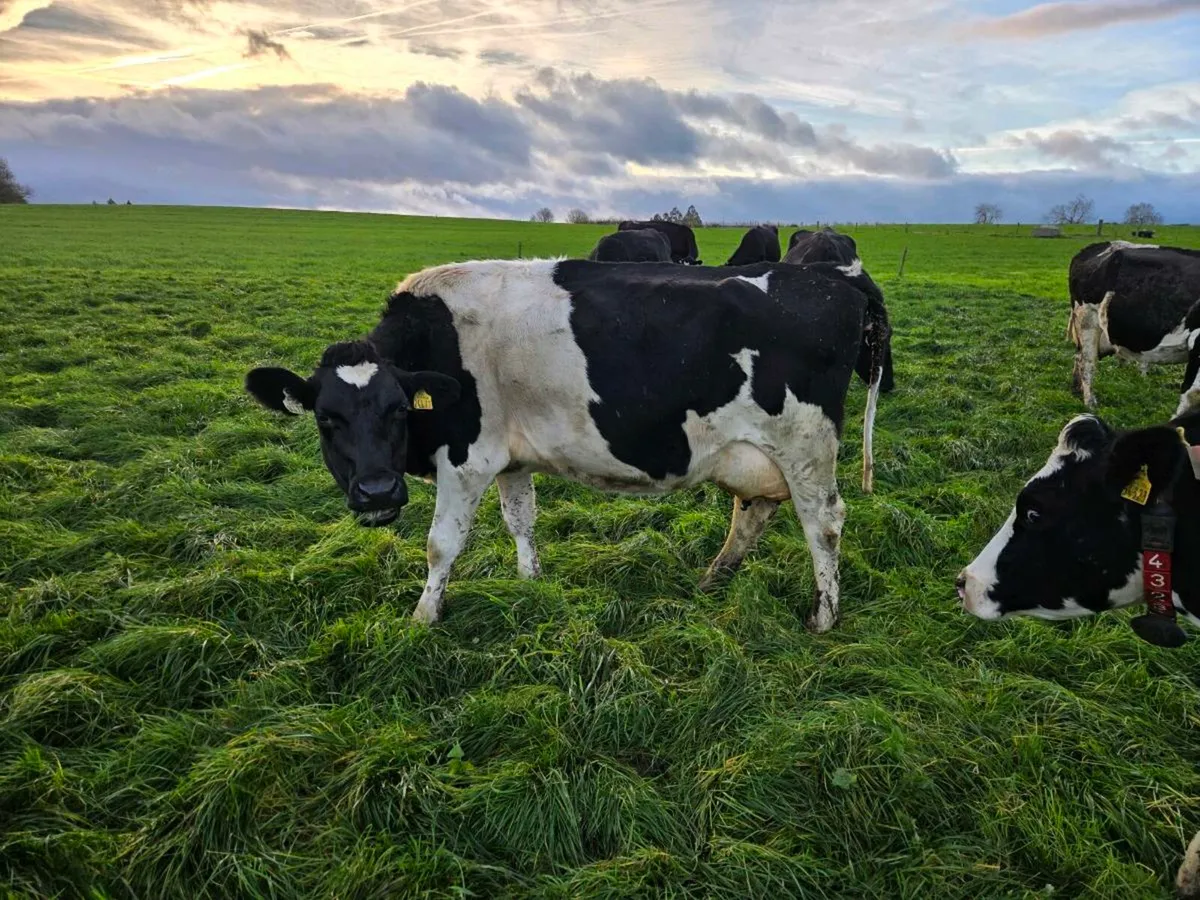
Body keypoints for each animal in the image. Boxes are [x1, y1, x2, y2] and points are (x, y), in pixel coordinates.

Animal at [244, 257, 889, 631]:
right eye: (327, 419)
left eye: (399, 408)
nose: (377, 491)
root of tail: (838, 276)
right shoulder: (508, 457)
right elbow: (520, 519)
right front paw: (530, 582)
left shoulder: (467, 457)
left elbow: (441, 544)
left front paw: (423, 616)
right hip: (756, 451)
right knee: (753, 511)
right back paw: (714, 578)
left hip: (806, 443)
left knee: (824, 523)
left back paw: (823, 616)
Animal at [1067, 241, 1200, 409]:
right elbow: (1190, 392)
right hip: (1087, 319)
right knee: (1087, 362)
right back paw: (1090, 403)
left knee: (1078, 357)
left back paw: (1076, 391)